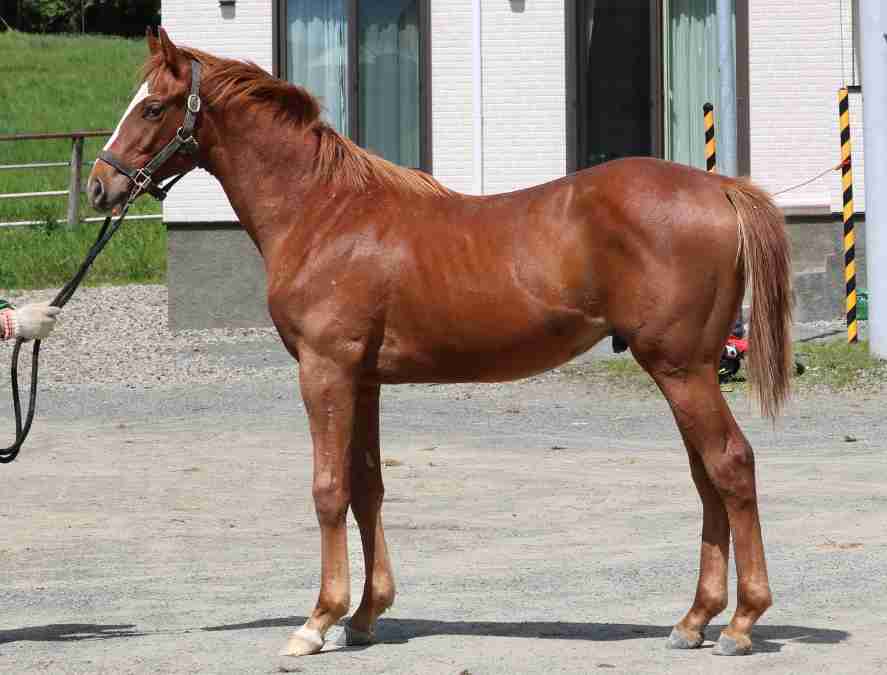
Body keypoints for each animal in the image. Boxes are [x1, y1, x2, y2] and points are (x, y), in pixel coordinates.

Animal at [88, 28, 792, 660]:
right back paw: (694, 620)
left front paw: (318, 622)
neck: (324, 213)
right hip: (682, 371)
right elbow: (367, 486)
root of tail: (721, 188)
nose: (100, 186)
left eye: (153, 107)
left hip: (682, 369)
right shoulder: (364, 380)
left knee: (731, 465)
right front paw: (364, 616)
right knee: (707, 477)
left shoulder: (325, 371)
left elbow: (328, 489)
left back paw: (740, 624)